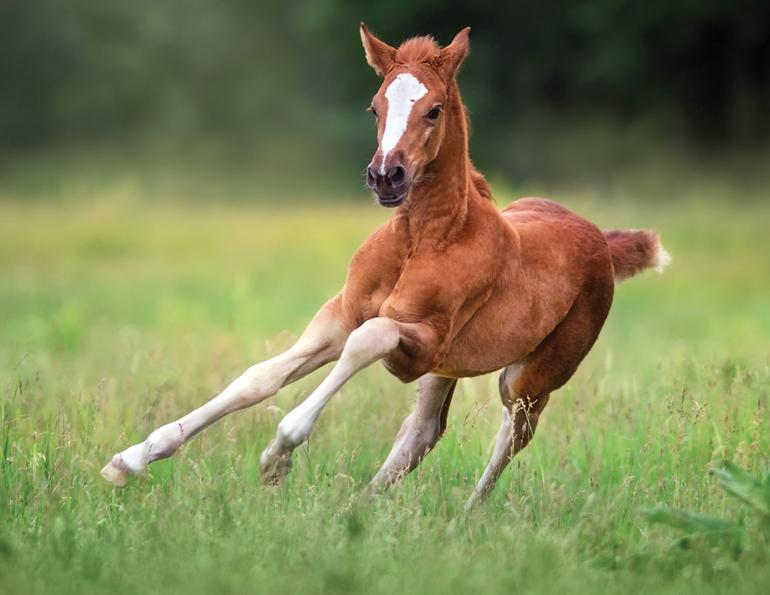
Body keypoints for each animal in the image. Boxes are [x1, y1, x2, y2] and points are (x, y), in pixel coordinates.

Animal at [101, 24, 670, 508]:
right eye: (374, 107)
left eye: (434, 110)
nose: (385, 176)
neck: (422, 237)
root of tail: (599, 238)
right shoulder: (343, 313)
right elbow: (257, 379)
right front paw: (131, 459)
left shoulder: (420, 342)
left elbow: (367, 340)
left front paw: (277, 456)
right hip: (450, 369)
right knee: (424, 432)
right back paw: (361, 507)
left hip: (530, 376)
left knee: (513, 433)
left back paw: (465, 518)